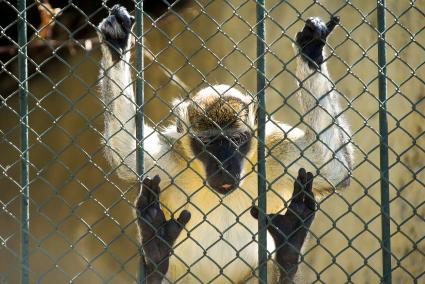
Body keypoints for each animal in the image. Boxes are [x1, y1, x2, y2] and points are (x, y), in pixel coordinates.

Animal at [97, 4, 352, 284]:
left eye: (236, 140)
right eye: (208, 142)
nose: (223, 165)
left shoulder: (274, 153)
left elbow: (331, 167)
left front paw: (311, 49)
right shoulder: (170, 158)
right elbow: (127, 149)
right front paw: (117, 44)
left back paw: (289, 247)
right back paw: (156, 251)